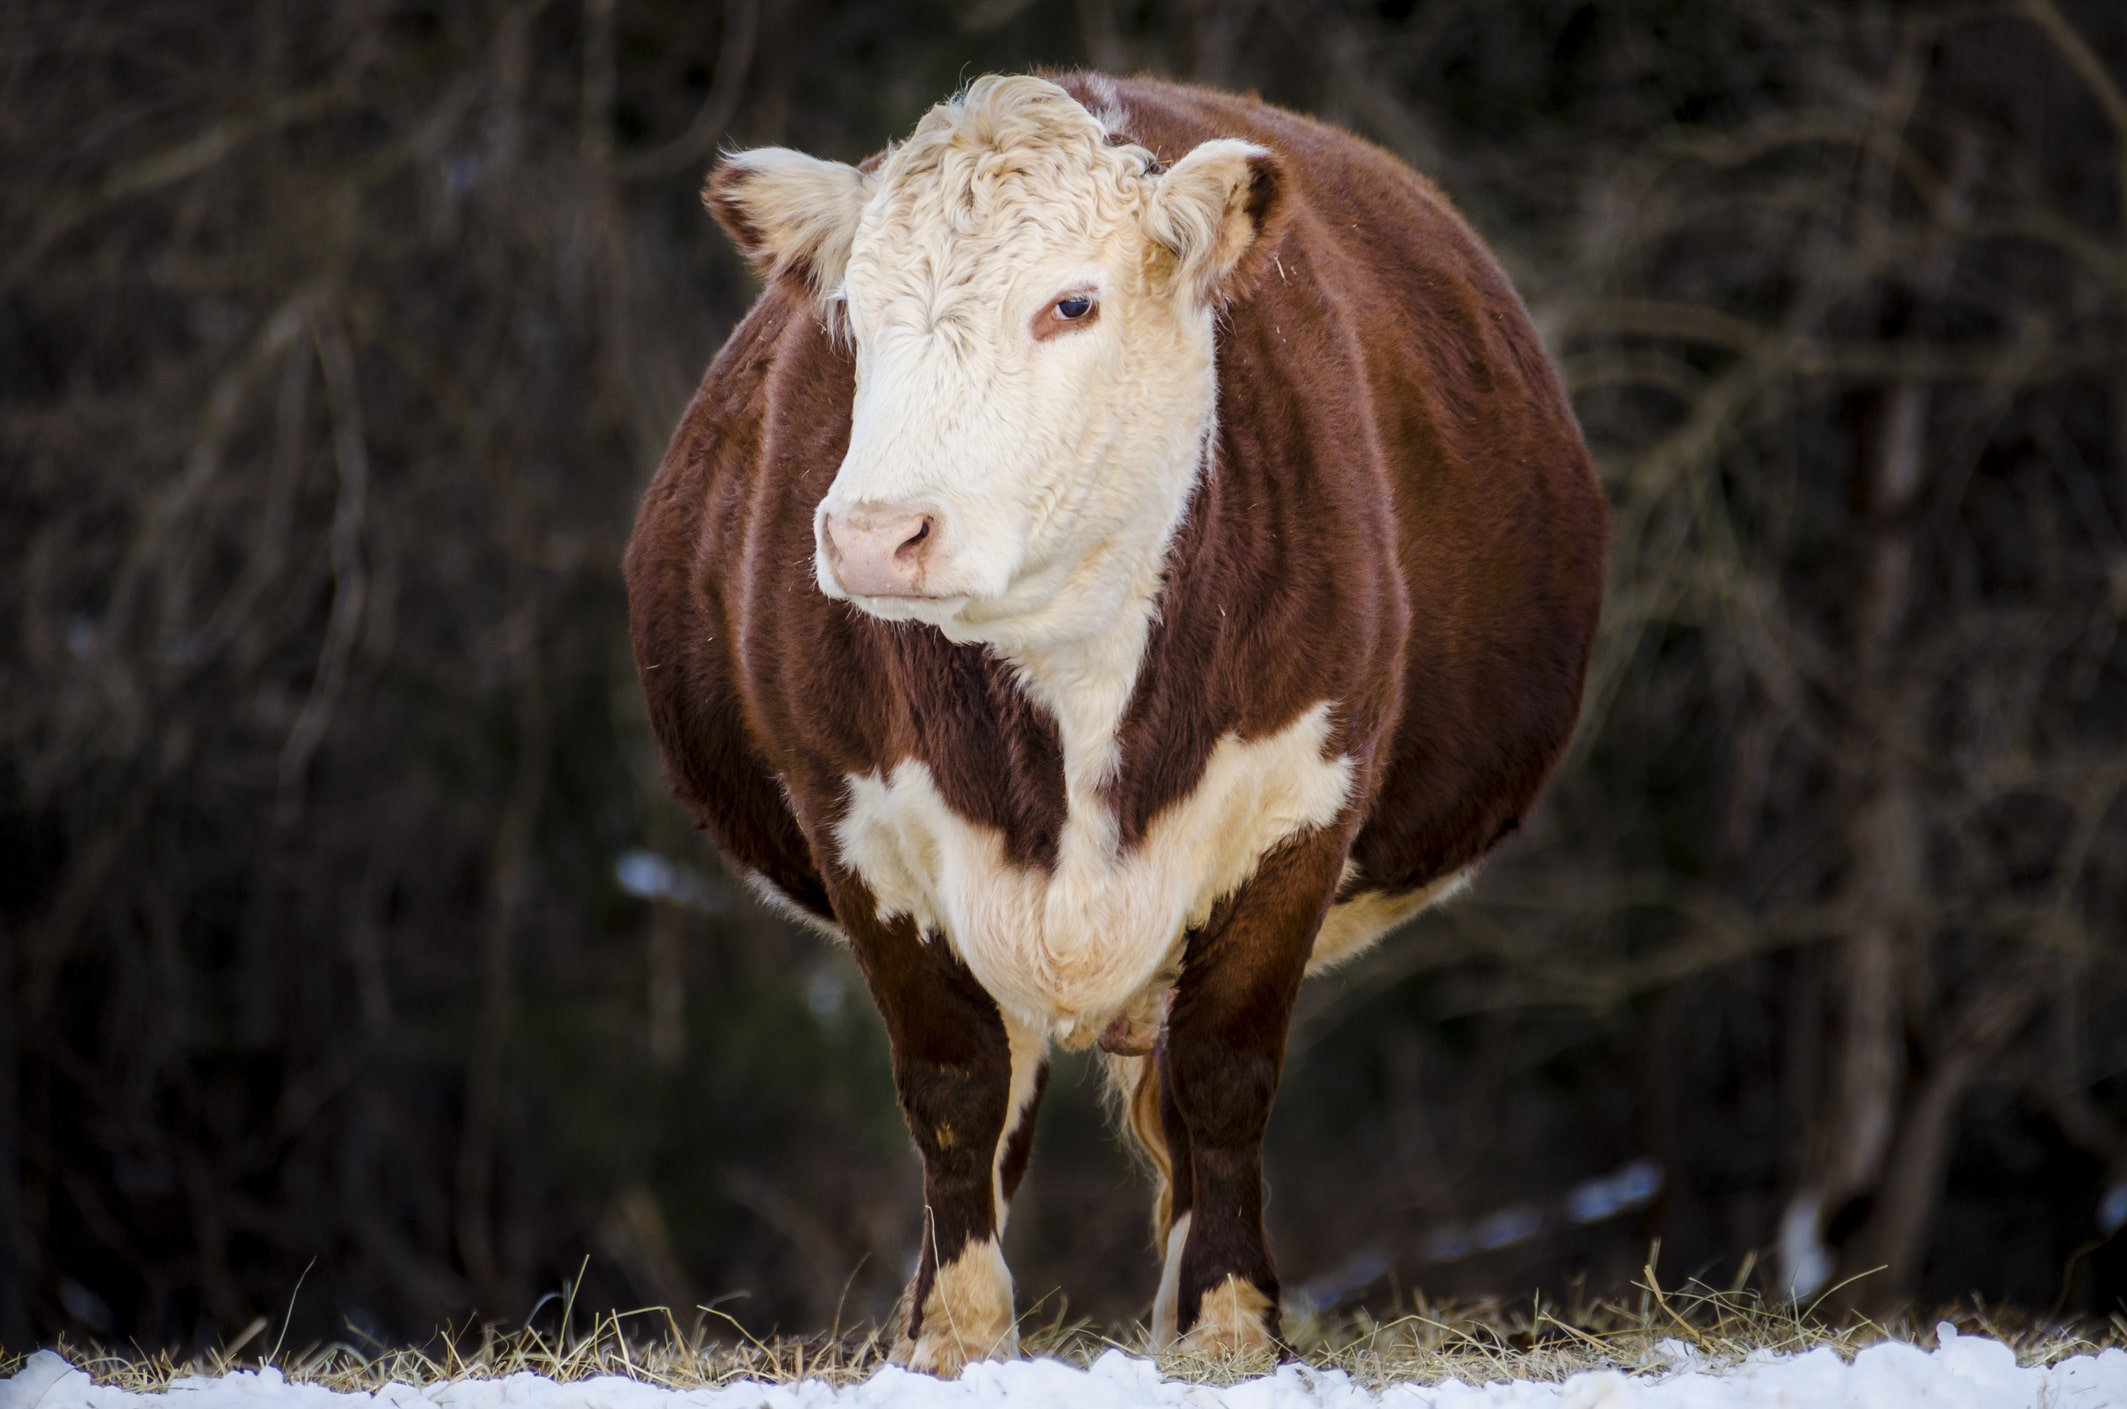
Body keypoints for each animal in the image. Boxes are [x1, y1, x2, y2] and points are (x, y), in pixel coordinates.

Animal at [621, 74, 1599, 1379]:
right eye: (853, 315)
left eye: (1072, 302)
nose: (877, 533)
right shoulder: (858, 828)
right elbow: (952, 1088)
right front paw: (954, 1338)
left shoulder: (1301, 809)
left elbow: (1225, 1077)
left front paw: (1231, 1330)